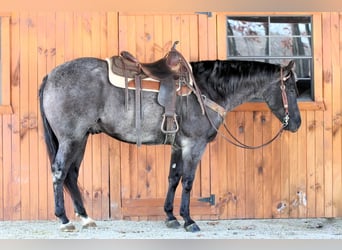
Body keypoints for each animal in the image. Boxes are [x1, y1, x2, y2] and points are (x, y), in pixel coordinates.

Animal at [38, 55, 300, 232]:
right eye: (290, 88)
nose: (296, 123)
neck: (205, 90)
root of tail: (51, 76)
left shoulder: (178, 146)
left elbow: (173, 178)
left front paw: (170, 217)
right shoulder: (194, 145)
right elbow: (188, 181)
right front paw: (189, 220)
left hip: (81, 138)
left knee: (71, 174)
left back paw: (85, 217)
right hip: (70, 139)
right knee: (59, 172)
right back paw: (64, 220)